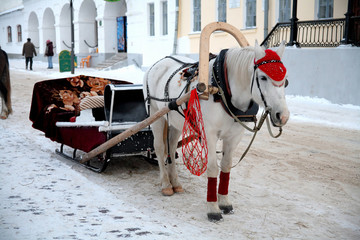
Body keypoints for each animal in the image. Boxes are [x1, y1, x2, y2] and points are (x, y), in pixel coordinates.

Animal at [143, 41, 290, 221]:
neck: (222, 90)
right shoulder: (209, 135)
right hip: (156, 115)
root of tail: (157, 63)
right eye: (263, 77)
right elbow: (213, 168)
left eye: (285, 79)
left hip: (176, 121)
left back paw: (175, 183)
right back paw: (165, 184)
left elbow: (226, 166)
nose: (282, 116)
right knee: (159, 147)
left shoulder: (234, 137)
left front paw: (225, 203)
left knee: (170, 147)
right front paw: (213, 208)